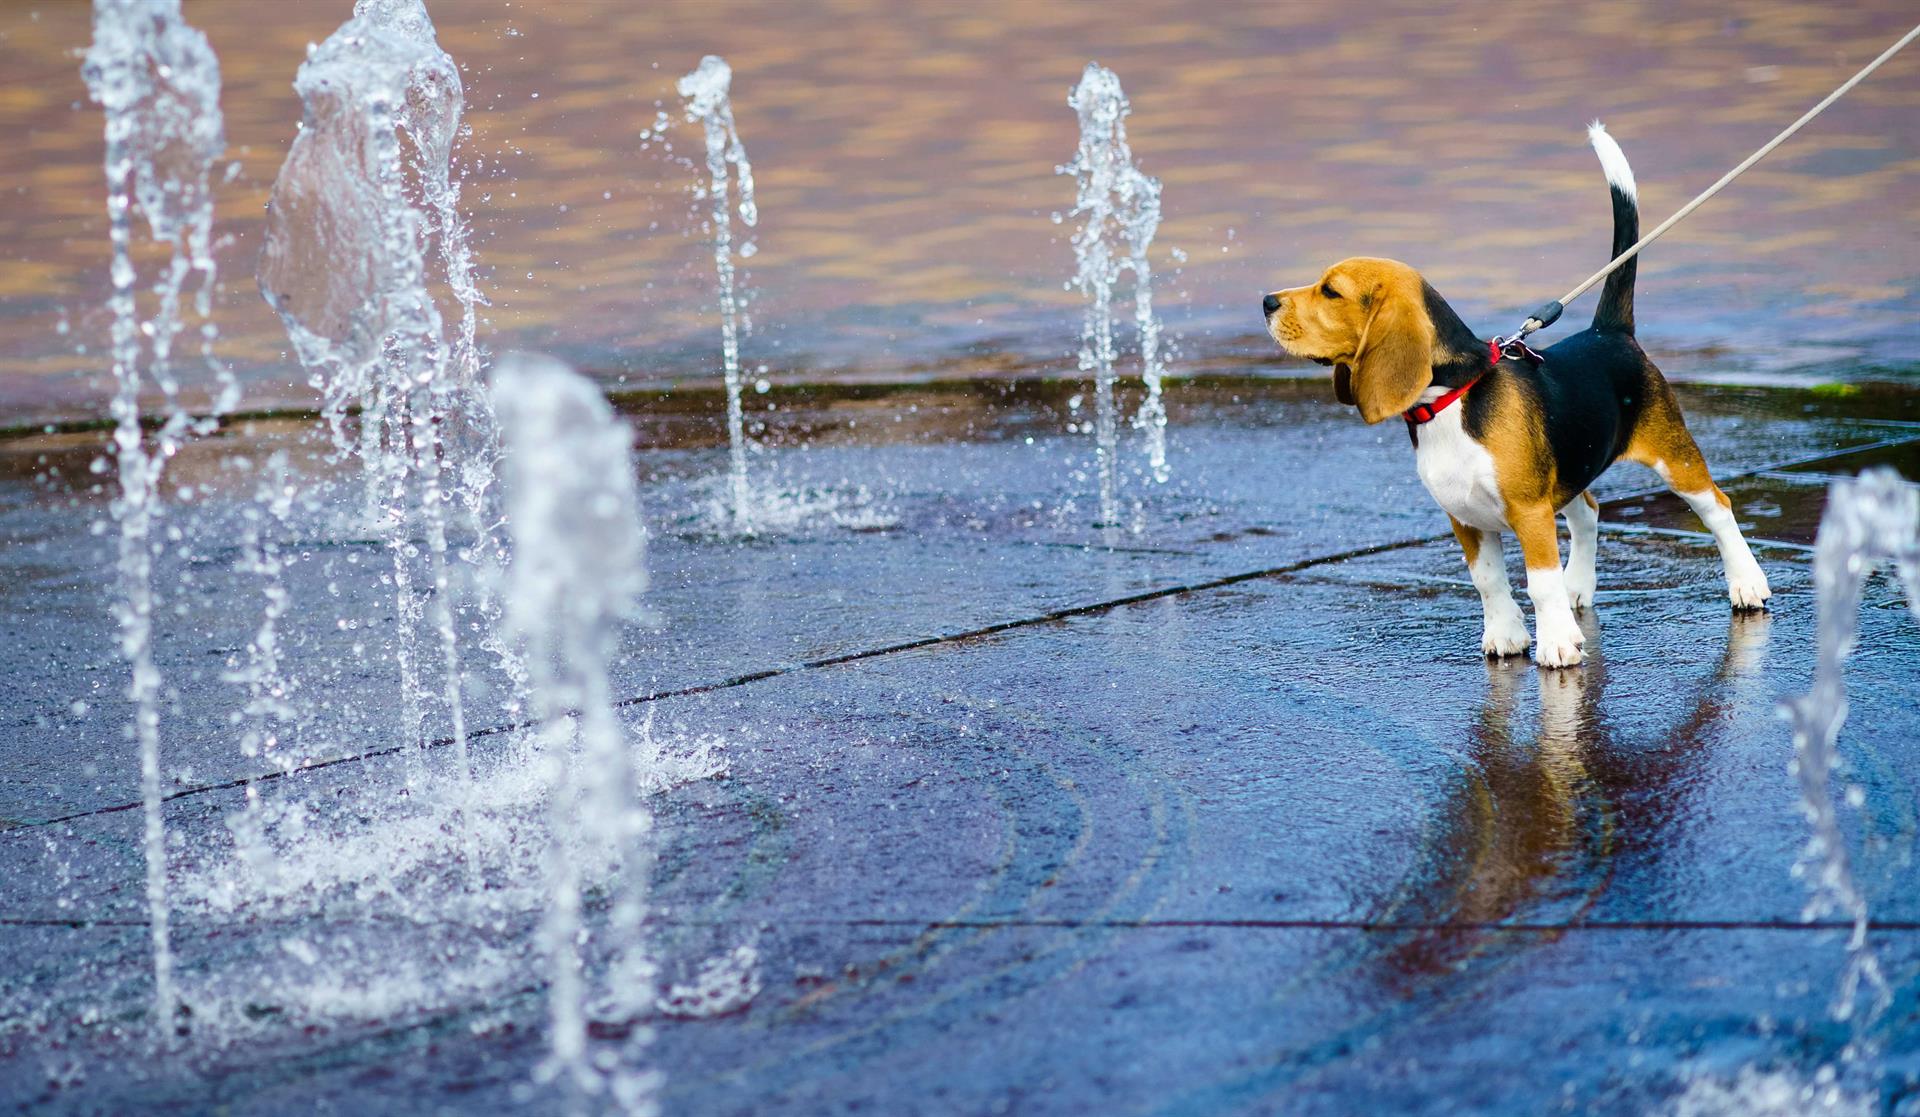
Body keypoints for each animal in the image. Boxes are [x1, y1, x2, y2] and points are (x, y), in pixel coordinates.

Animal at [1259, 124, 1766, 664]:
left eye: (1330, 291)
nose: (1266, 301)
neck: (1449, 399)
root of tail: (1610, 331)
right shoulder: (1465, 516)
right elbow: (1487, 581)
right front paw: (1506, 635)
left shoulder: (1529, 511)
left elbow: (1539, 582)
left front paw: (1558, 643)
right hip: (1569, 471)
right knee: (1588, 512)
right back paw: (1578, 587)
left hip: (1673, 455)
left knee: (1717, 508)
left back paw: (1747, 584)